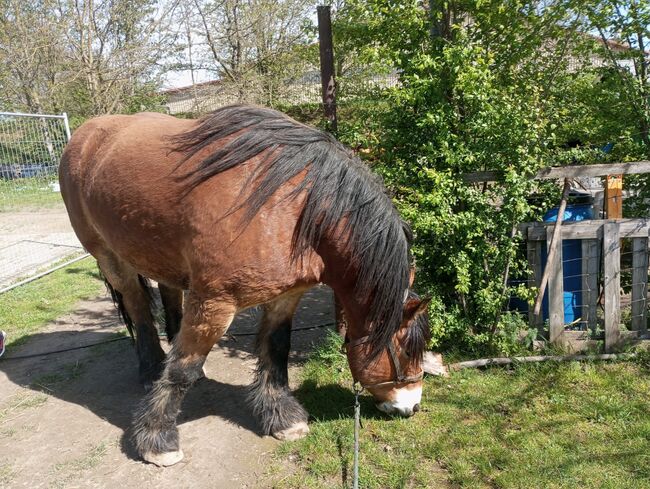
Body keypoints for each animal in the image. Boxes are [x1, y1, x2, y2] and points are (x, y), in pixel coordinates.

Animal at [58, 104, 428, 466]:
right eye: (407, 350)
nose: (411, 406)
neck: (291, 208)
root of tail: (86, 135)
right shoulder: (214, 304)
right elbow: (183, 368)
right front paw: (157, 439)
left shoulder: (286, 297)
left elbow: (276, 348)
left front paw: (282, 417)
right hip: (110, 258)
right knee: (138, 309)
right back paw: (151, 369)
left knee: (169, 296)